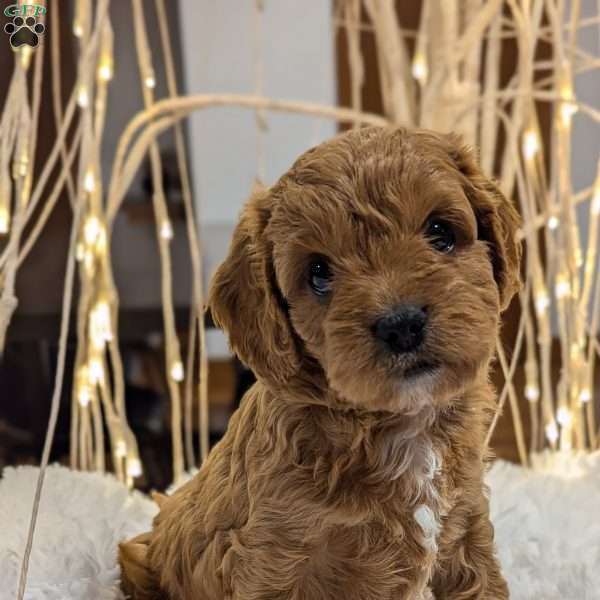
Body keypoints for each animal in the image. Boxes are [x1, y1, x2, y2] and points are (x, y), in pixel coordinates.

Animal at [119, 126, 516, 600]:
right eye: (319, 273)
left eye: (440, 232)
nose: (401, 324)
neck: (398, 425)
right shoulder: (275, 559)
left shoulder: (466, 529)